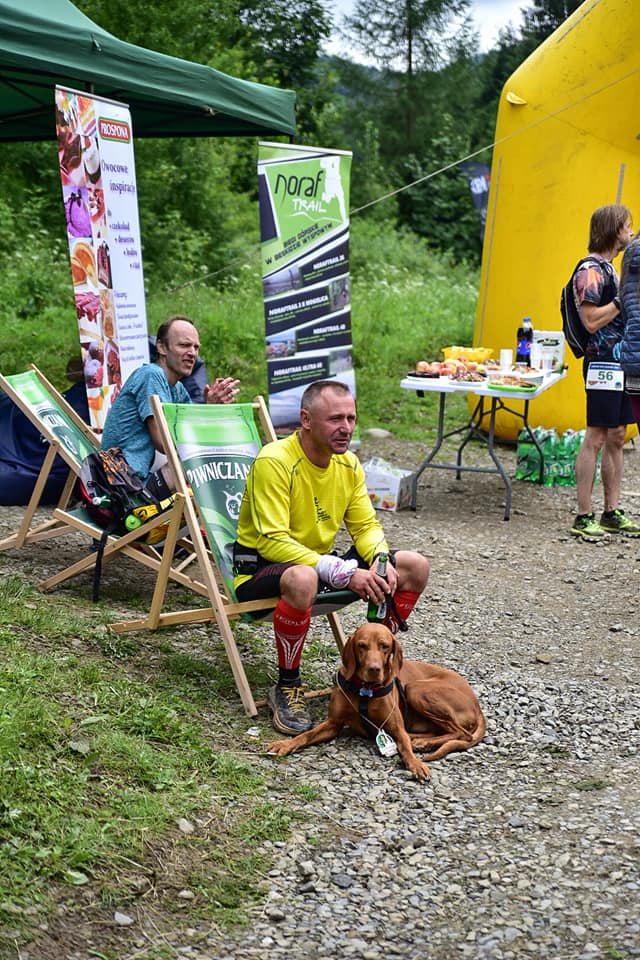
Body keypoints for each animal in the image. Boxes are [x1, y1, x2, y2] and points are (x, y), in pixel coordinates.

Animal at [267, 622, 486, 780]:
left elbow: (405, 747)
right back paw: (420, 740)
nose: (374, 669)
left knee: (462, 733)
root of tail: (477, 705)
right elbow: (305, 735)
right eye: (362, 646)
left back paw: (422, 743)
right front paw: (284, 744)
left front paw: (416, 764)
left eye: (385, 646)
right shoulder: (333, 724)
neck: (365, 691)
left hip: (416, 689)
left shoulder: (396, 727)